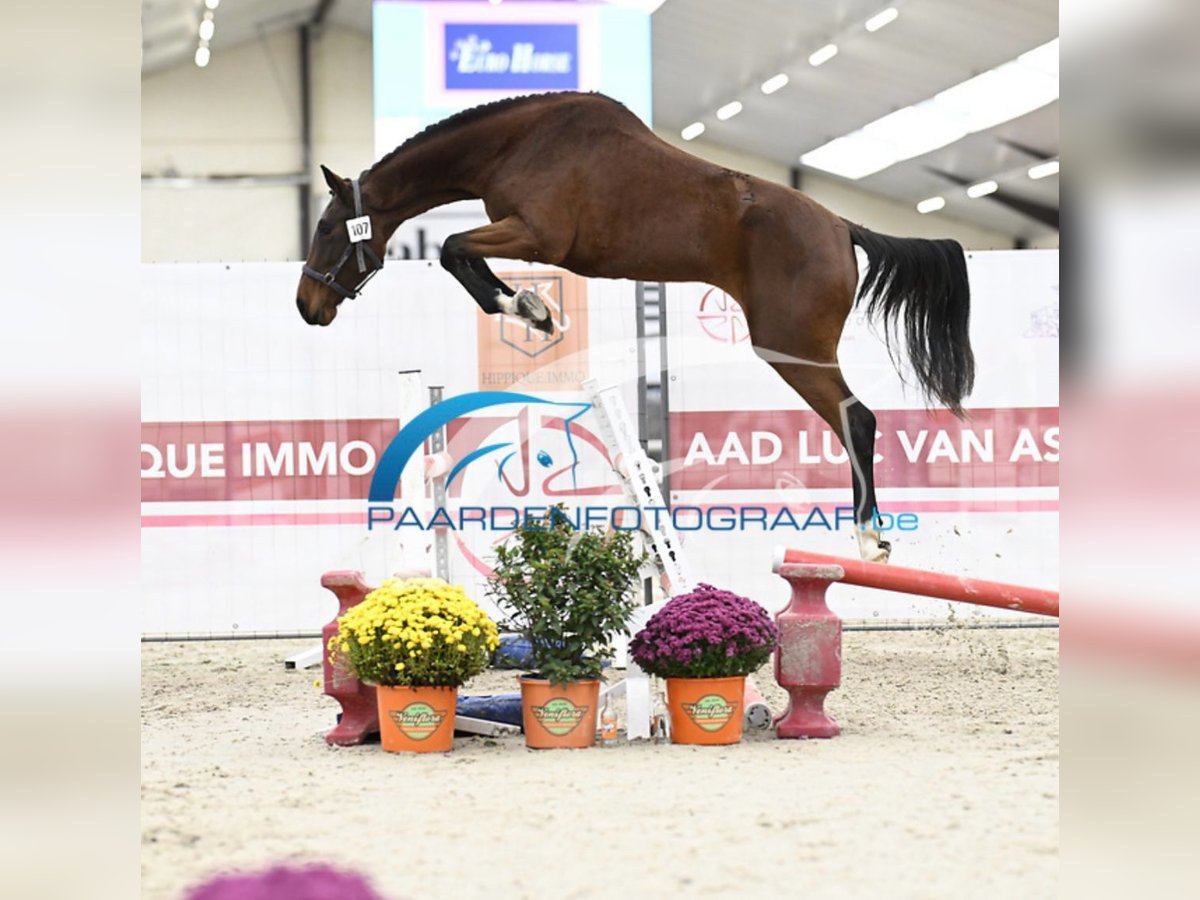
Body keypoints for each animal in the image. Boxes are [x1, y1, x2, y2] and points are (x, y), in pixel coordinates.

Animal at [292, 88, 974, 561]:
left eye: (326, 228)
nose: (306, 306)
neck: (519, 142)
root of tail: (840, 226)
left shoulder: (536, 234)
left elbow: (454, 248)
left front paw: (532, 311)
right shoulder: (522, 235)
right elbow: (463, 254)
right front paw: (531, 308)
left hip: (791, 348)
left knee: (856, 420)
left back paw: (870, 540)